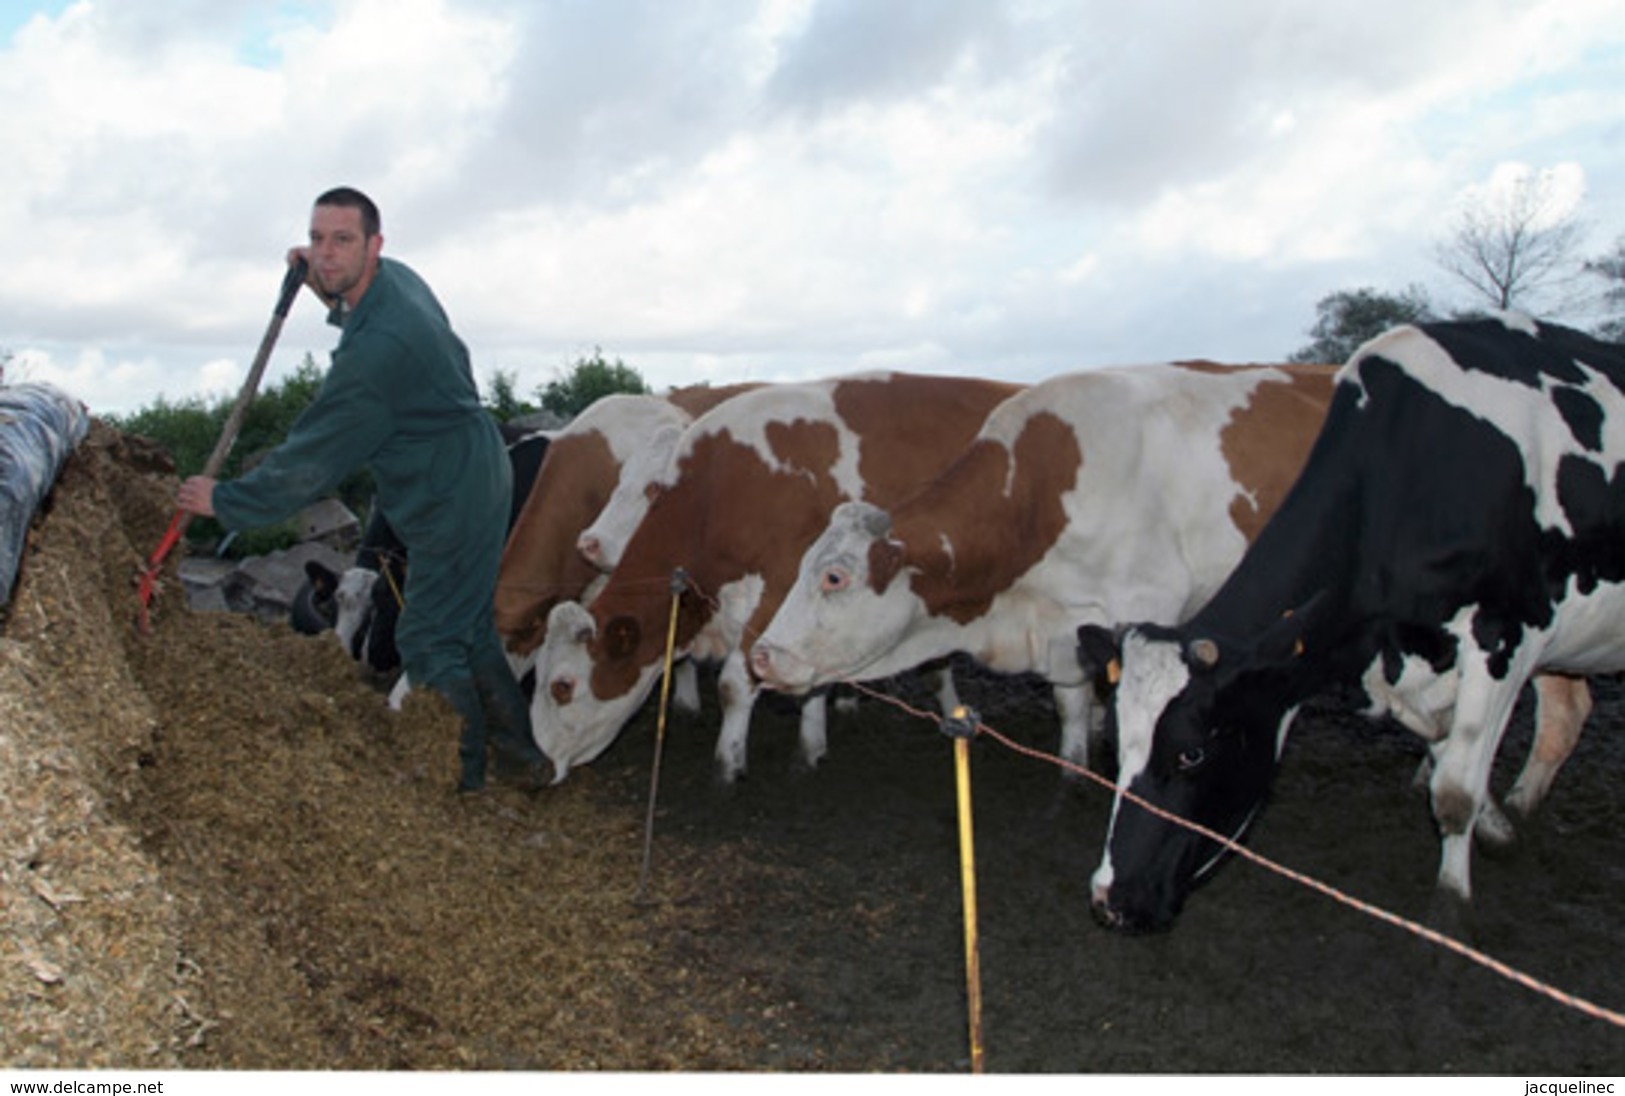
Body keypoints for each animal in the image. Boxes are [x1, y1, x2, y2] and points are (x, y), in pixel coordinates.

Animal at [533, 370, 1020, 780]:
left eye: (562, 686)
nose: (543, 761)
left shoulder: (785, 584)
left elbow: (735, 683)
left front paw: (729, 766)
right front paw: (812, 743)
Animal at [754, 357, 1339, 767]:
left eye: (834, 577)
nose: (761, 656)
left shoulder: (1150, 603)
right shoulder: (1067, 627)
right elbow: (1070, 705)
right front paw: (1073, 771)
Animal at [1072, 313, 1618, 930]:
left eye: (1192, 753)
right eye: (1117, 744)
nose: (1110, 901)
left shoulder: (1505, 636)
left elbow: (1455, 790)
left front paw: (1449, 905)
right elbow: (1442, 746)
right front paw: (1498, 827)